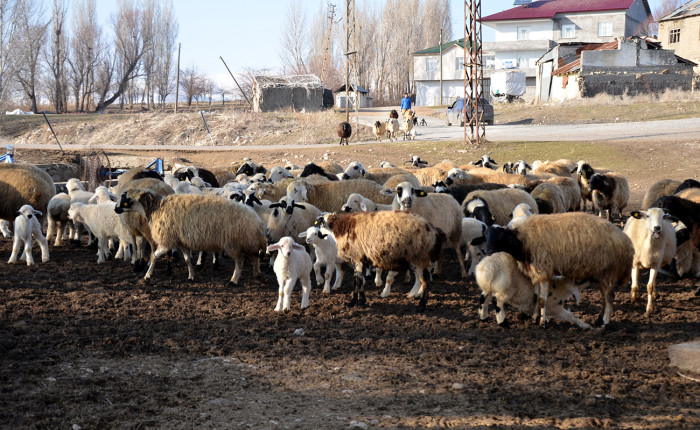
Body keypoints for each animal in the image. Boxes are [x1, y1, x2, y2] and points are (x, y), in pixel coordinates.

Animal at [116, 191, 266, 286]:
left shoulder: (167, 241)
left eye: (127, 202)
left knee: (240, 262)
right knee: (255, 257)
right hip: (248, 242)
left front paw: (147, 276)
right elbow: (187, 260)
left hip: (233, 243)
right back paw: (257, 274)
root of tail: (257, 222)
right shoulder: (181, 242)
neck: (156, 209)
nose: (116, 210)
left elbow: (154, 256)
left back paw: (233, 281)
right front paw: (191, 277)